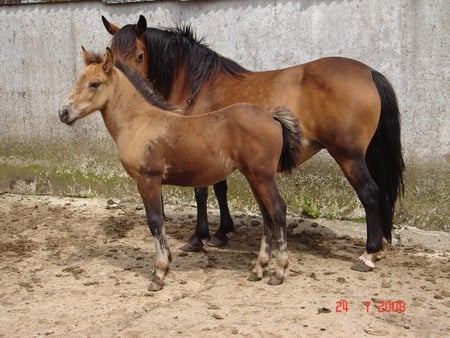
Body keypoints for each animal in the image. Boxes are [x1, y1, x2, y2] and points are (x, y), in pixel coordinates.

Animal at [58, 47, 300, 290]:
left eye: (94, 83)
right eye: (78, 80)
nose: (63, 112)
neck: (139, 122)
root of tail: (271, 116)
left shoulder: (148, 180)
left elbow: (155, 221)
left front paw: (159, 274)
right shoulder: (153, 182)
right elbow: (159, 221)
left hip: (262, 177)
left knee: (278, 210)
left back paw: (278, 272)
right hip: (253, 177)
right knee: (267, 217)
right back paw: (258, 270)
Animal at [103, 15, 404, 270]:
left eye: (139, 55)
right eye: (112, 54)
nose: (123, 84)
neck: (200, 85)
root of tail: (368, 72)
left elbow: (203, 193)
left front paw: (199, 236)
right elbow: (220, 189)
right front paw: (222, 231)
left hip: (348, 155)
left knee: (370, 192)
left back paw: (370, 253)